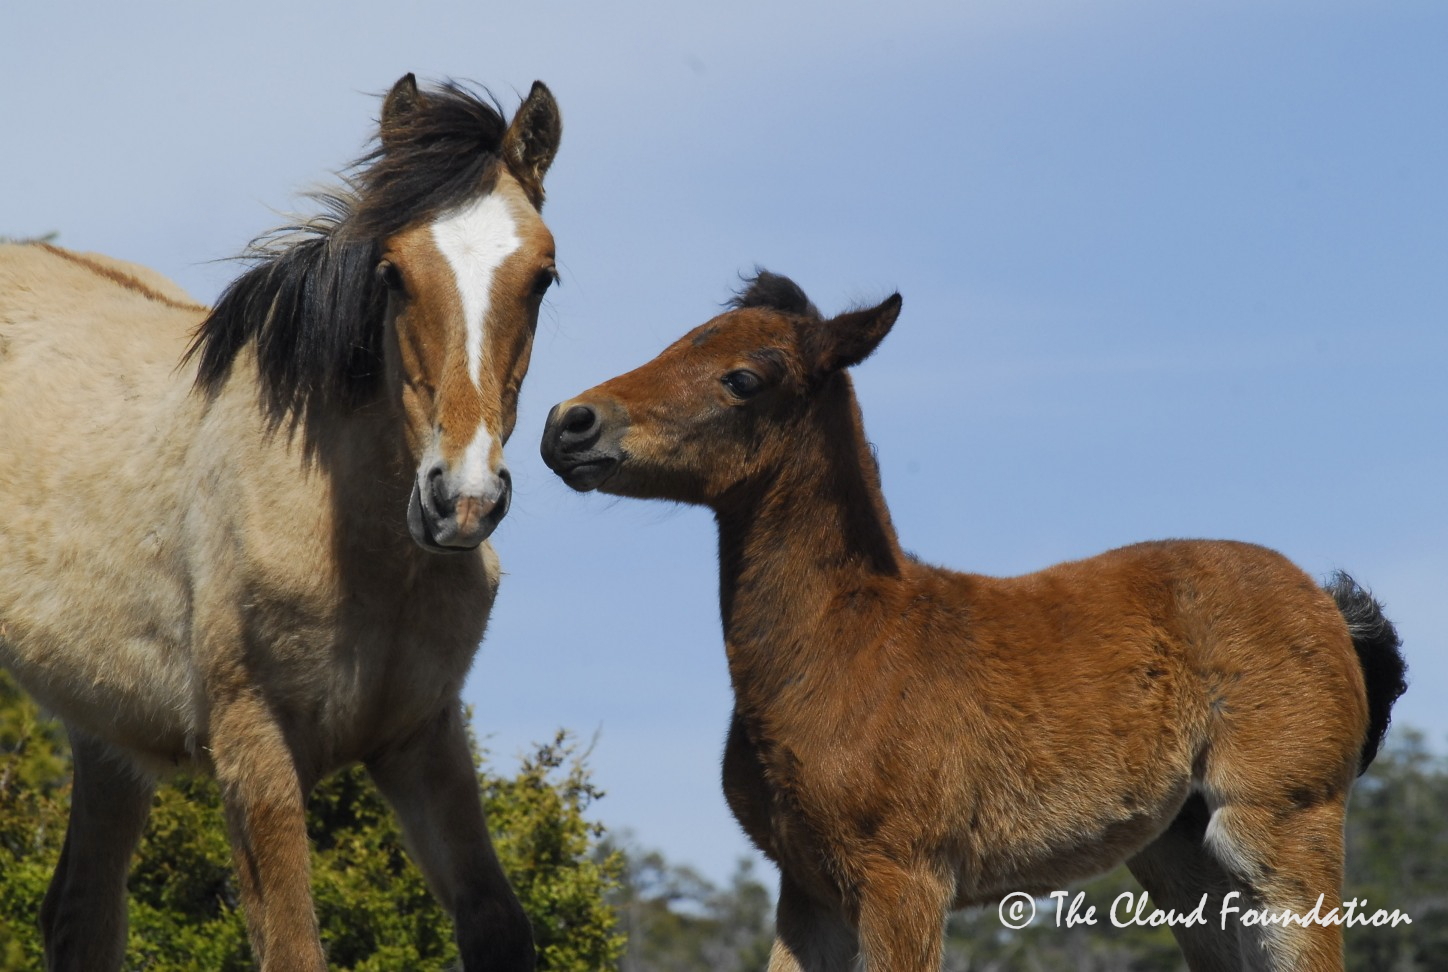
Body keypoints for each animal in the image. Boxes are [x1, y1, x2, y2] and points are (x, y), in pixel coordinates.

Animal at [2, 76, 558, 972]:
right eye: (393, 271)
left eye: (542, 276)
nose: (463, 498)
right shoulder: (254, 747)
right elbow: (294, 947)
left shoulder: (422, 739)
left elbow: (498, 925)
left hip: (107, 732)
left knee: (81, 914)